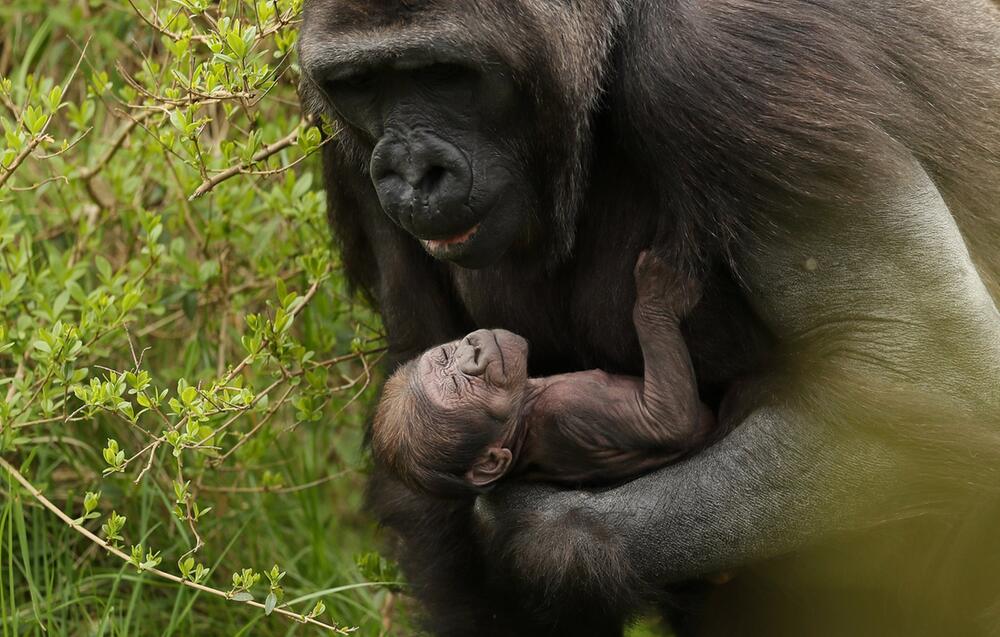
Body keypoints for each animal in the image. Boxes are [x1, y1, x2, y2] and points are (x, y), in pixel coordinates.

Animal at [374, 250, 712, 496]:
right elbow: (670, 420)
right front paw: (656, 297)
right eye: (458, 386)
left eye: (445, 357)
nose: (472, 351)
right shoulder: (568, 405)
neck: (527, 402)